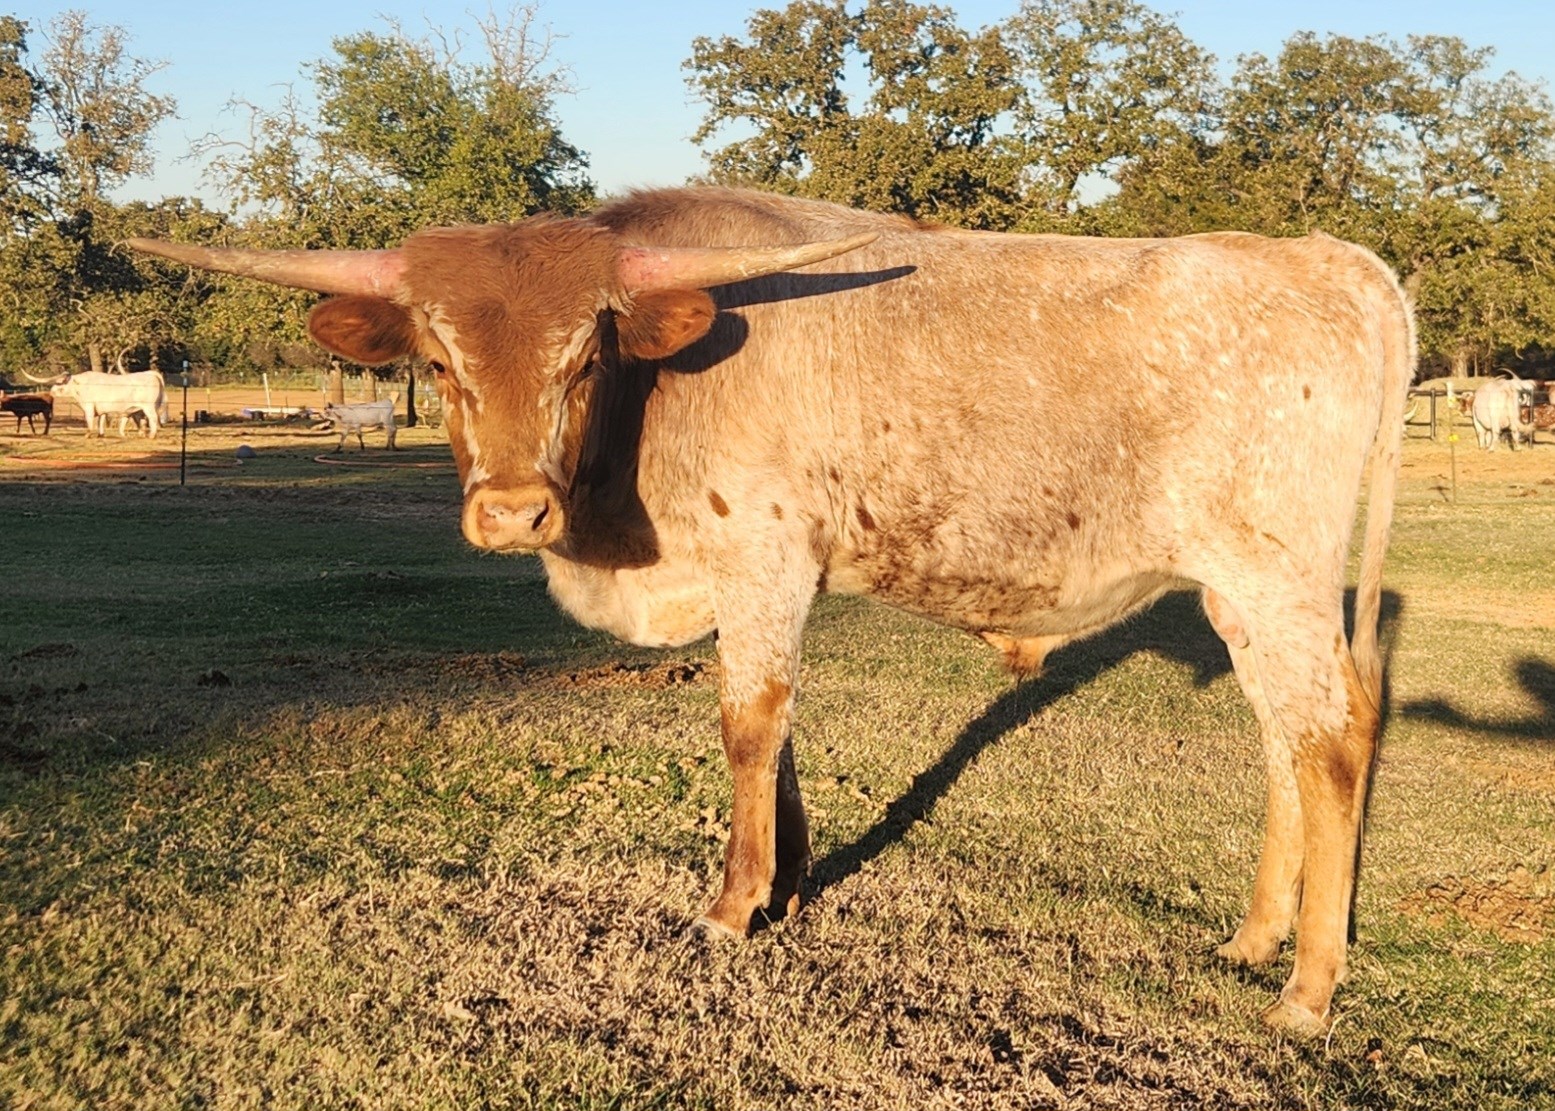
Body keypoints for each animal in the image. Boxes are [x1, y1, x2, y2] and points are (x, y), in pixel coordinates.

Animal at [24, 370, 168, 438]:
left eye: (60, 382)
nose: (51, 391)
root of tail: (152, 374)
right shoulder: (101, 409)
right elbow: (101, 421)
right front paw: (100, 435)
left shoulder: (88, 406)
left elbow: (89, 420)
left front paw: (87, 434)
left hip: (149, 407)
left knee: (153, 419)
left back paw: (151, 435)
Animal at [128, 185, 1414, 1036]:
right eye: (438, 365)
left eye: (584, 357)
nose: (510, 512)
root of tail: (1333, 258)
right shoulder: (765, 576)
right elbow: (781, 730)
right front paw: (788, 882)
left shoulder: (762, 555)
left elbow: (749, 722)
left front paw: (731, 903)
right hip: (1237, 591)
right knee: (1284, 739)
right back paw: (1255, 936)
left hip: (1276, 573)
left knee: (1335, 738)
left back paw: (1308, 987)